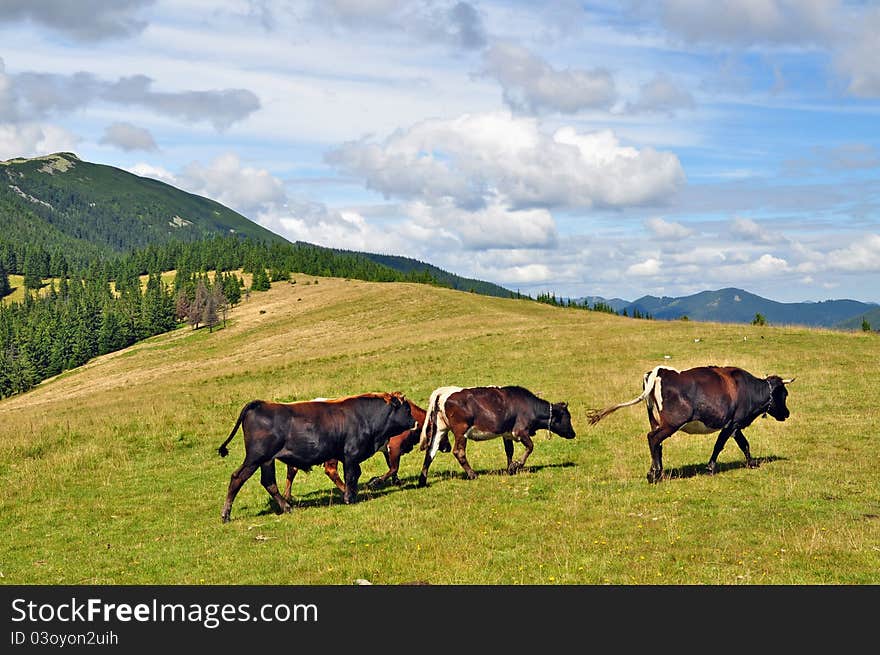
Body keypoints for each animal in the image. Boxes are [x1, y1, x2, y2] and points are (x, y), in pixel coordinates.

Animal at [282, 400, 430, 498]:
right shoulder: (395, 446)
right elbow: (394, 467)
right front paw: (375, 482)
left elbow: (392, 467)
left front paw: (396, 482)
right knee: (330, 470)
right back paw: (346, 491)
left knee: (292, 470)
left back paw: (288, 496)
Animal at [418, 384, 576, 486]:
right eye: (567, 417)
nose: (573, 434)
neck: (530, 407)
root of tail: (443, 392)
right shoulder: (520, 431)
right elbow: (530, 447)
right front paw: (517, 465)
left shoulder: (507, 433)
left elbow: (509, 451)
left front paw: (510, 468)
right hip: (460, 431)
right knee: (458, 452)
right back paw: (472, 474)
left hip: (440, 429)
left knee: (430, 452)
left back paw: (422, 481)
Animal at [588, 366, 796, 484]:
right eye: (784, 394)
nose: (787, 413)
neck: (749, 390)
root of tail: (659, 371)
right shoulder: (732, 423)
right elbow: (720, 445)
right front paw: (710, 467)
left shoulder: (734, 425)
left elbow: (744, 444)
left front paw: (751, 463)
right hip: (672, 423)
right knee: (653, 438)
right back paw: (654, 475)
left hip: (656, 420)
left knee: (657, 443)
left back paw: (658, 472)